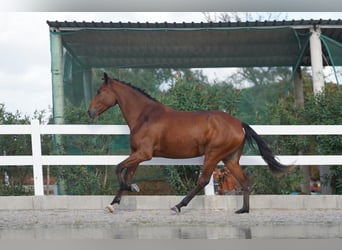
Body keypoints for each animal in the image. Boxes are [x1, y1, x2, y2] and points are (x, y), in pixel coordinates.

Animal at [87, 73, 292, 214]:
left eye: (99, 92)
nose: (90, 112)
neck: (144, 116)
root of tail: (239, 123)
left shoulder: (144, 154)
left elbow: (118, 168)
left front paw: (131, 189)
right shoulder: (136, 154)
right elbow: (126, 174)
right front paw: (113, 204)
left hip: (213, 154)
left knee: (203, 180)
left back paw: (178, 206)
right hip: (230, 159)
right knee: (244, 181)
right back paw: (243, 210)